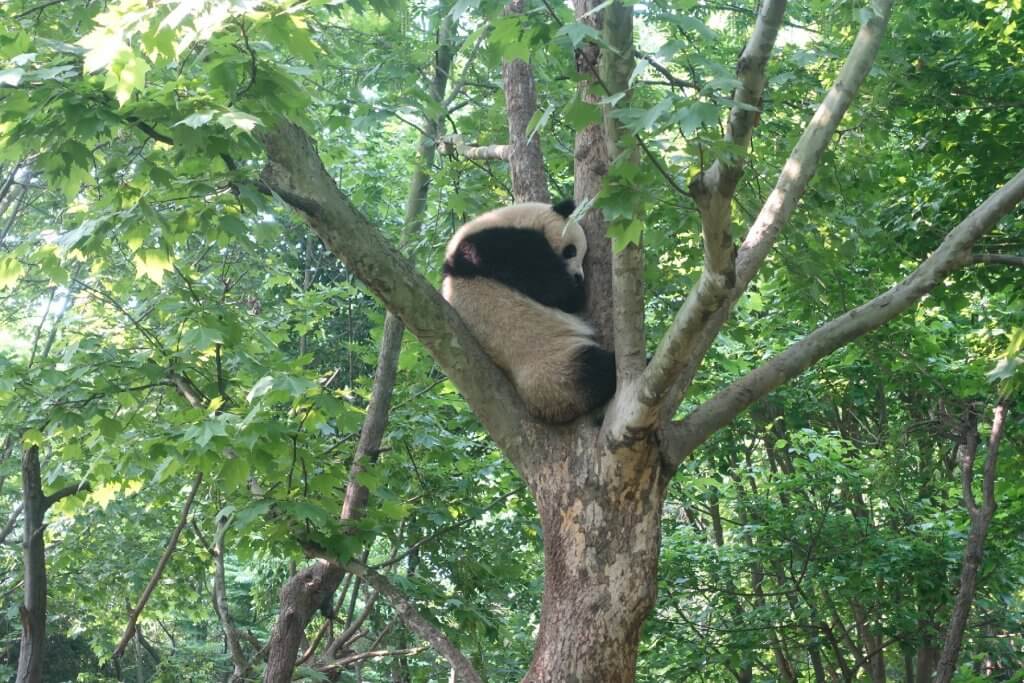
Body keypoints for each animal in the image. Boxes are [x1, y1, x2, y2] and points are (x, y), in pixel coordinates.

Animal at [442, 198, 614, 421]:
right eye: (572, 251)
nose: (578, 277)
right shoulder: (501, 246)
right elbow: (558, 293)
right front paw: (575, 292)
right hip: (551, 364)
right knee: (595, 369)